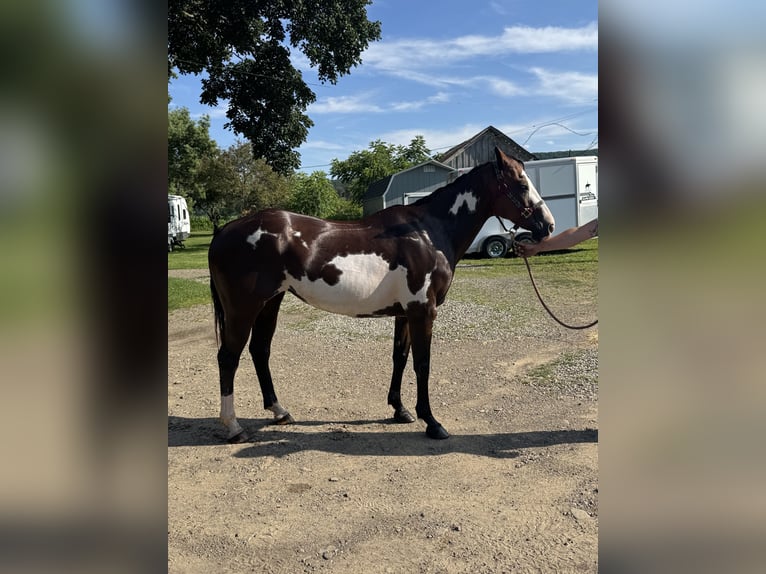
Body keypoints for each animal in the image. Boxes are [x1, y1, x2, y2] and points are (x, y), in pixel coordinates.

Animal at [208, 147, 555, 442]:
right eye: (521, 184)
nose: (548, 226)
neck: (427, 232)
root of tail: (224, 230)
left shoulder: (405, 311)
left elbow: (400, 357)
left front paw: (400, 410)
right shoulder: (423, 310)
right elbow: (423, 364)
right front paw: (432, 422)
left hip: (270, 302)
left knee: (259, 350)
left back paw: (279, 411)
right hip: (243, 308)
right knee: (228, 357)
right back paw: (234, 427)